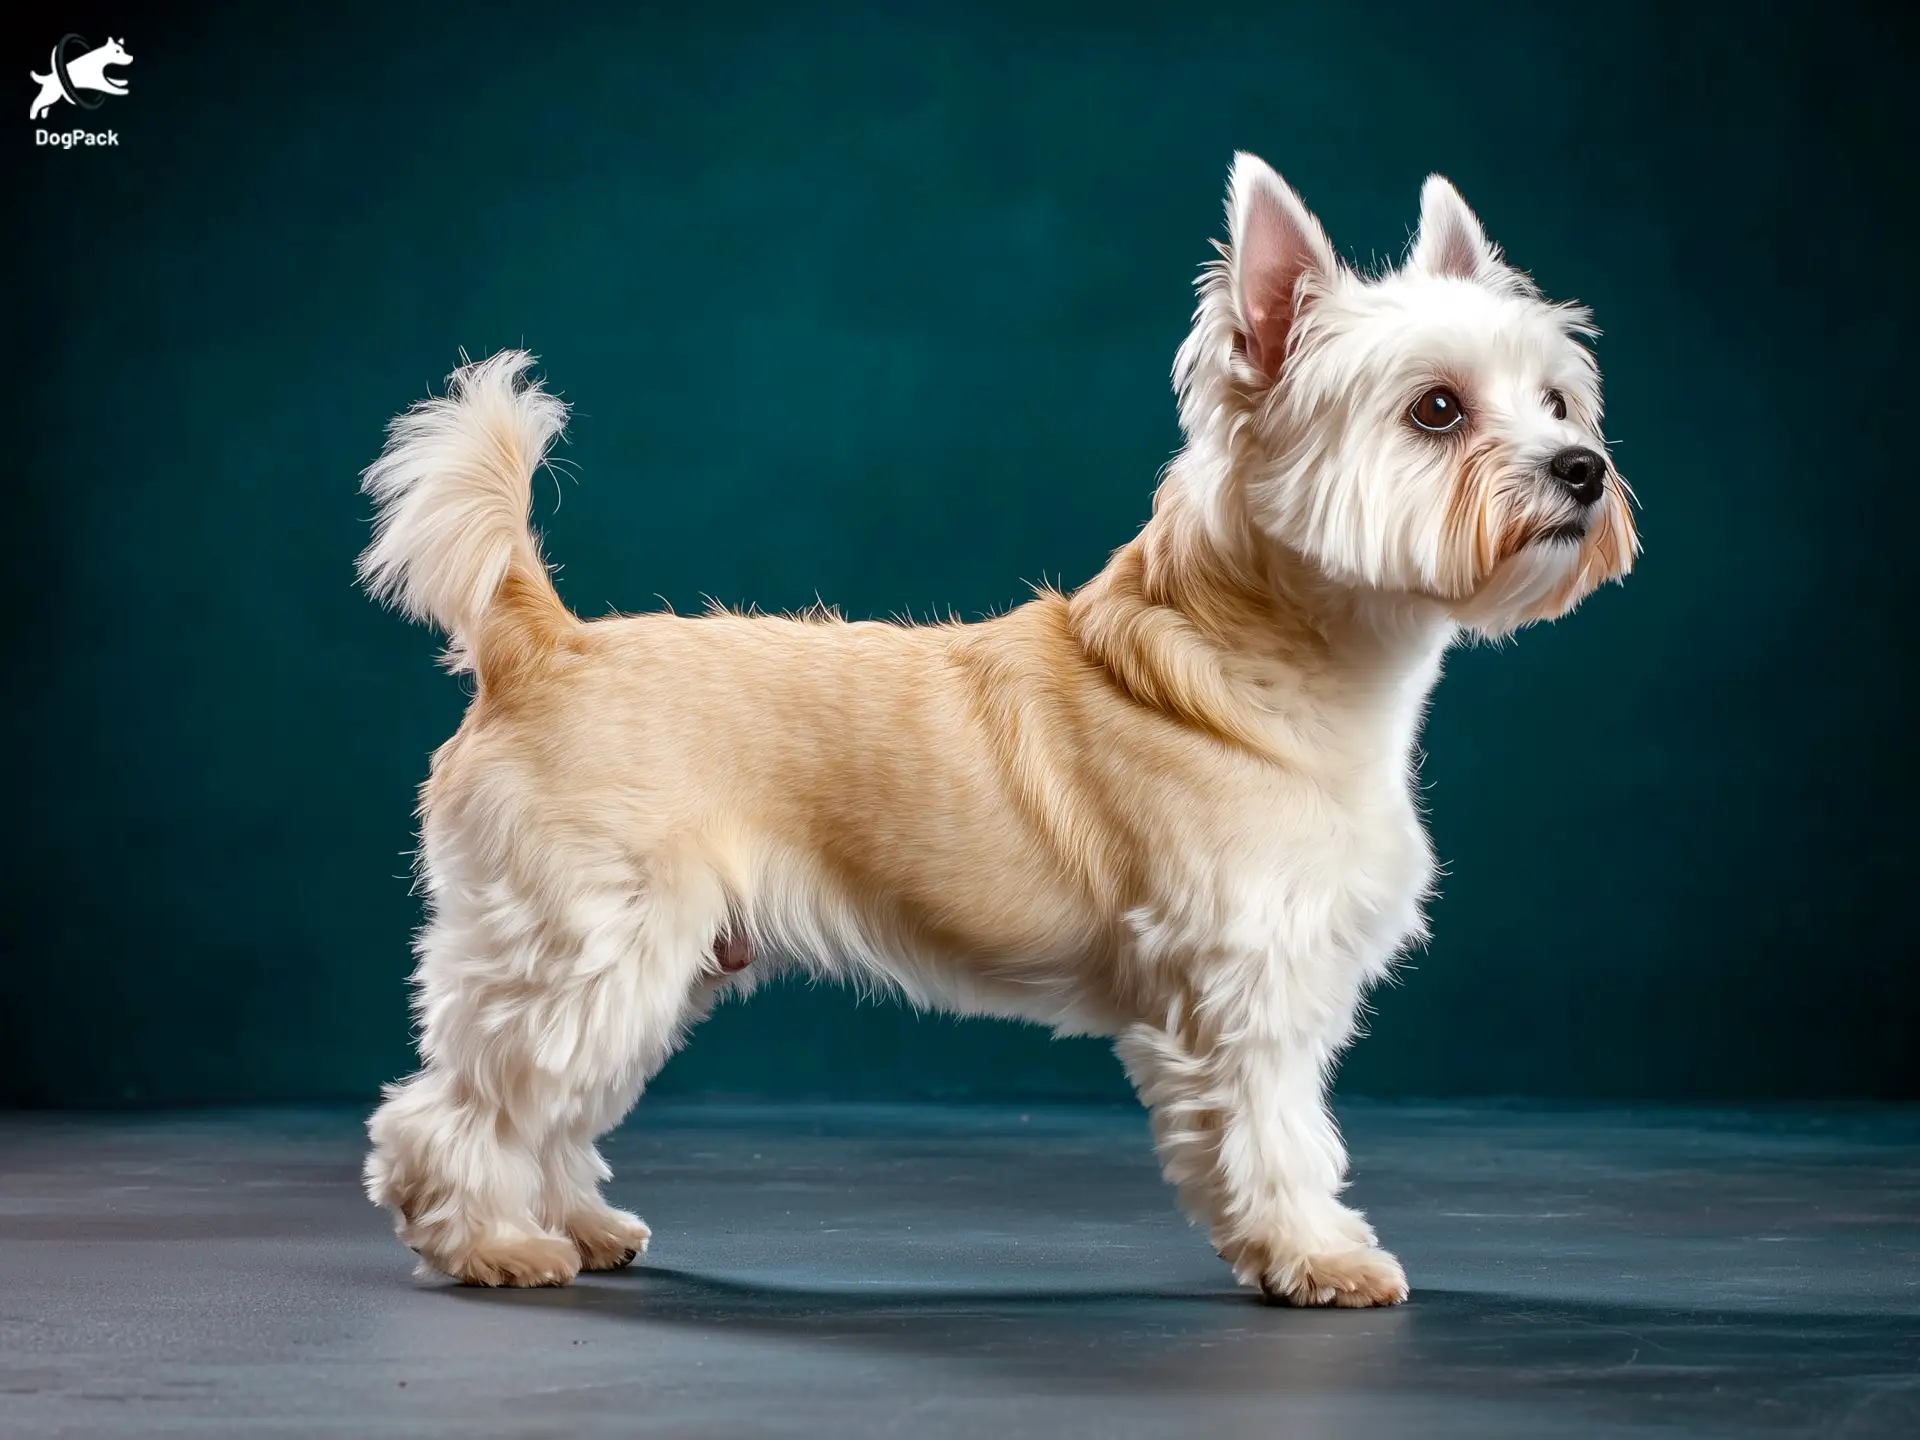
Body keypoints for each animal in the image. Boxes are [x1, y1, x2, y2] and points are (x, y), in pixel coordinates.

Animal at [357, 155, 1635, 1305]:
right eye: (1436, 409)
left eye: (1558, 400)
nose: (1584, 469)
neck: (1275, 660)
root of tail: (542, 642)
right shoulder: (1248, 986)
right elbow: (1277, 1135)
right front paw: (1317, 1258)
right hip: (586, 943)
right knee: (459, 1108)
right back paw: (489, 1243)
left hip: (651, 961)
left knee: (550, 1105)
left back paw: (572, 1222)